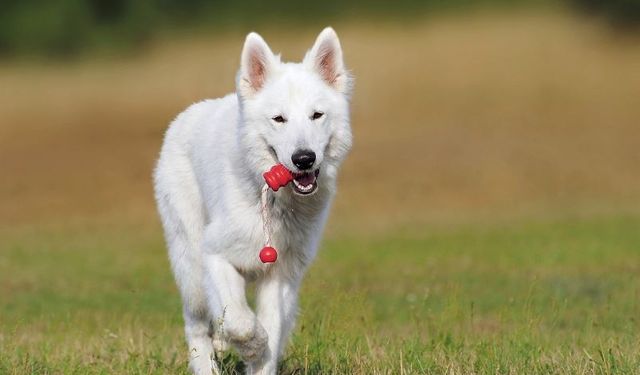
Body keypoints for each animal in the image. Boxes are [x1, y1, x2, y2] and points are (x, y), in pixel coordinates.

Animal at [153, 27, 352, 374]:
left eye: (317, 115)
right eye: (279, 119)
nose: (303, 159)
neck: (273, 202)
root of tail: (184, 117)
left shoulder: (280, 276)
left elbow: (269, 328)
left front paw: (258, 356)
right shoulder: (215, 255)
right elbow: (241, 322)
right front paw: (252, 345)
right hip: (191, 268)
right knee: (196, 326)